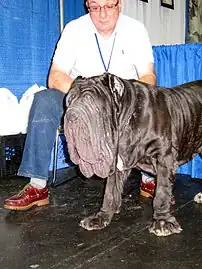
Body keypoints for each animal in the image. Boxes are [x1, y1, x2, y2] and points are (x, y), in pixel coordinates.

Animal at [63, 72, 202, 236]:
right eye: (68, 102)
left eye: (91, 103)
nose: (71, 116)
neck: (126, 120)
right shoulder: (115, 162)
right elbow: (109, 192)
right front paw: (101, 217)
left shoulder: (164, 158)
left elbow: (161, 193)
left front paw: (162, 222)